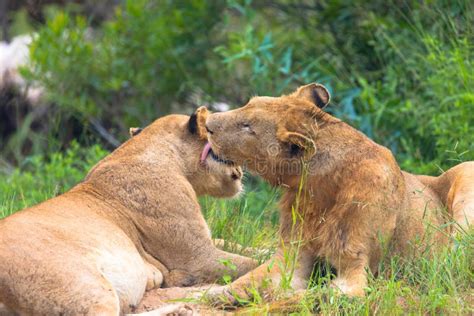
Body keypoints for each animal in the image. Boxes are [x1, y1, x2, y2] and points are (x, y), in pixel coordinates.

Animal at [0, 108, 258, 314]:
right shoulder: (198, 258)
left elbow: (243, 247)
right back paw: (182, 305)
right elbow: (250, 263)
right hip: (87, 287)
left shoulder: (207, 242)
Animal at [184, 80, 470, 300]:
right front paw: (221, 295)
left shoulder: (355, 264)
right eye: (247, 103)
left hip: (467, 175)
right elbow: (252, 278)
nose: (207, 123)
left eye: (248, 127)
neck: (319, 188)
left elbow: (326, 295)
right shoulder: (292, 252)